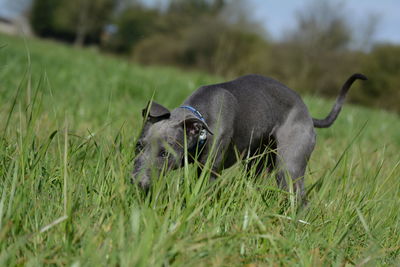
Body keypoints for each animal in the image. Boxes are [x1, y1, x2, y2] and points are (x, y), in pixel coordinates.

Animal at [131, 73, 366, 197]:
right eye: (138, 146)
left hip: (289, 166)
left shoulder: (209, 170)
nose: (137, 183)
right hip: (257, 163)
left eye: (165, 153)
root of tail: (308, 115)